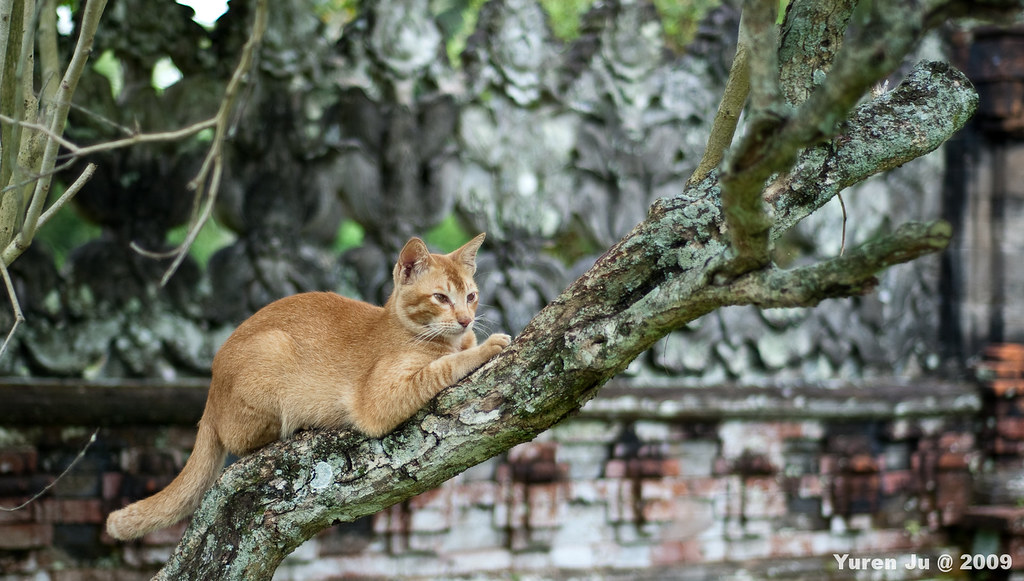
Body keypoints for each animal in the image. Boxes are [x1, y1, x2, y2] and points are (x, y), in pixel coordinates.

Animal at [103, 235, 512, 541]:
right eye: (441, 297)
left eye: (471, 296)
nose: (466, 318)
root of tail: (211, 391)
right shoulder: (378, 401)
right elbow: (444, 366)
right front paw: (485, 346)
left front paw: (475, 339)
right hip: (272, 352)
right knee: (239, 439)